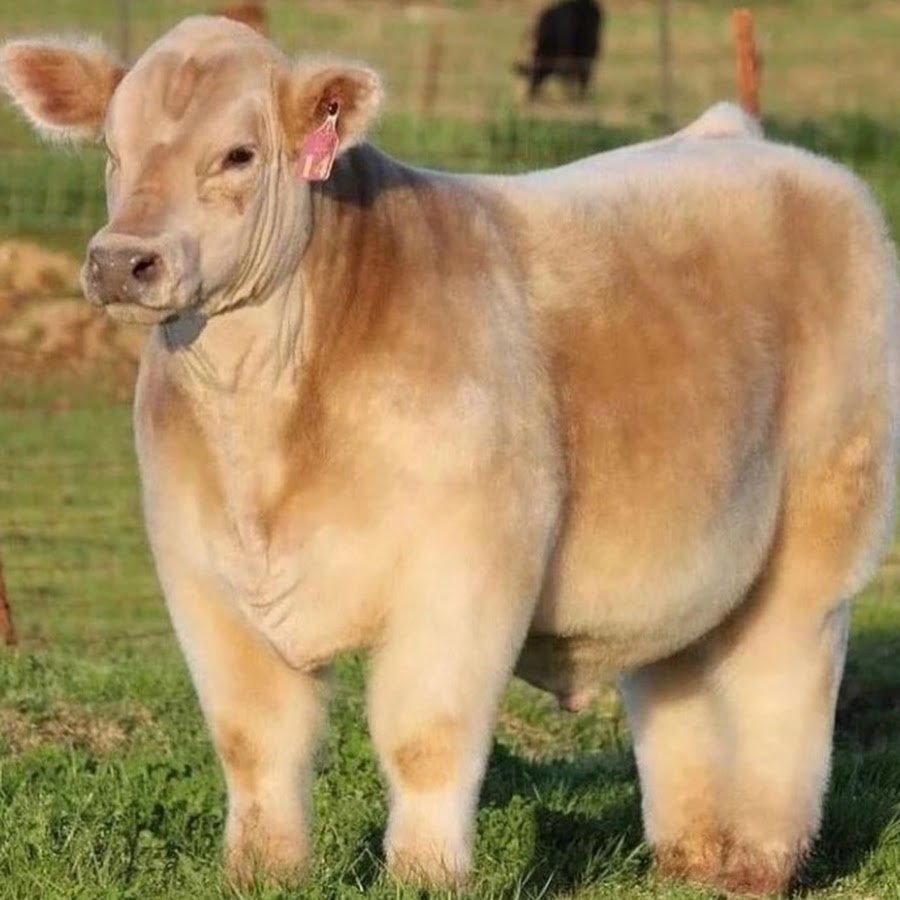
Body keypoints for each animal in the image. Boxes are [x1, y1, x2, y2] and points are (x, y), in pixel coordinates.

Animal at [1, 16, 897, 896]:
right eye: (112, 148)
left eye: (239, 154)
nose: (121, 260)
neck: (263, 426)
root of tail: (747, 140)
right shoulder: (202, 576)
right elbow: (254, 740)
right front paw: (262, 876)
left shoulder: (462, 569)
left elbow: (425, 738)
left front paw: (426, 876)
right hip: (685, 553)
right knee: (676, 677)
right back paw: (690, 858)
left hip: (822, 526)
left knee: (783, 676)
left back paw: (760, 862)